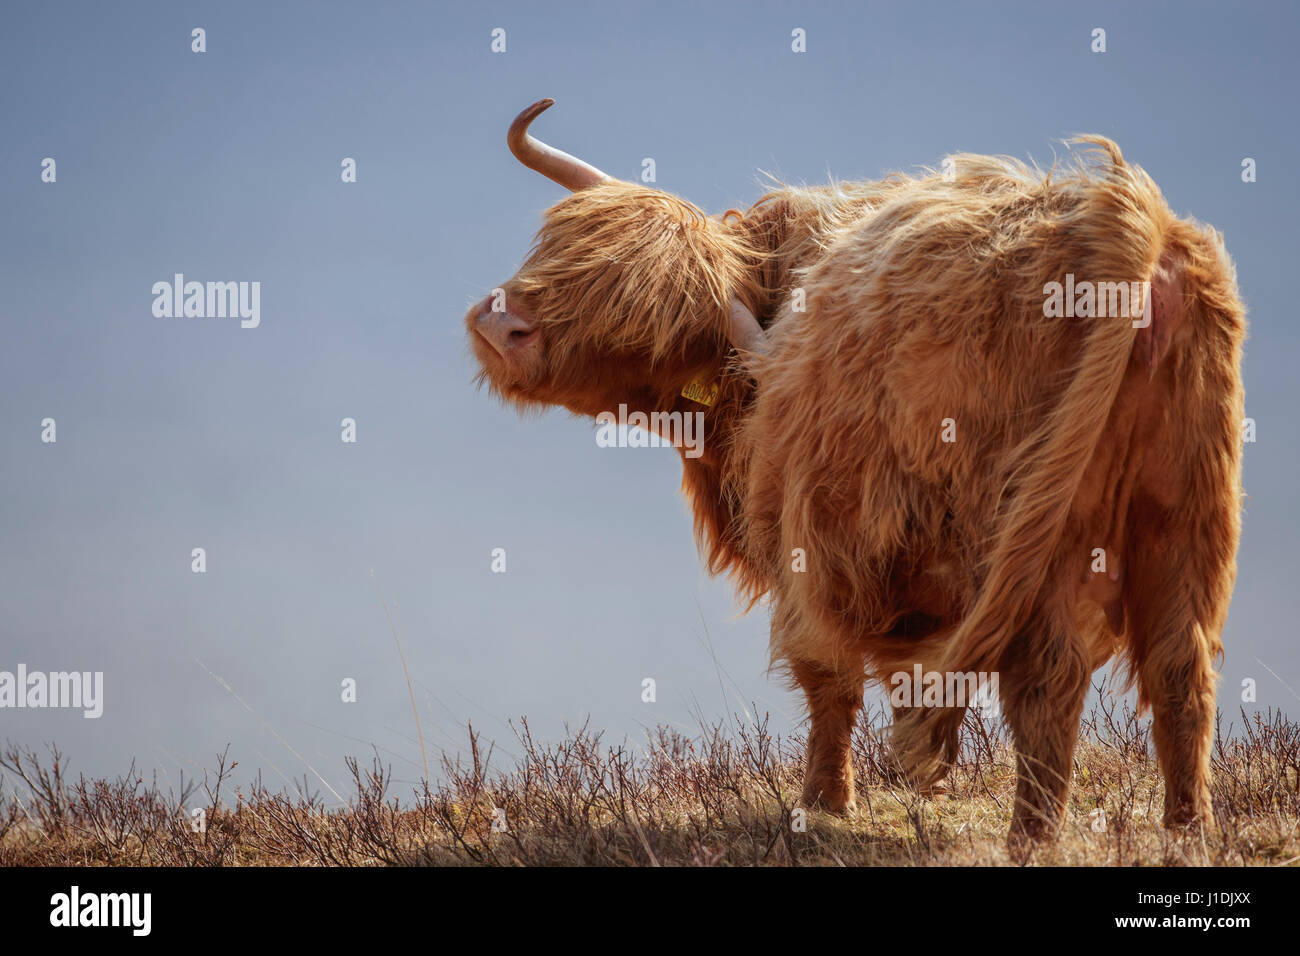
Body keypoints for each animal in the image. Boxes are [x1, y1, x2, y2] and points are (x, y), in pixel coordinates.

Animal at [470, 98, 1248, 858]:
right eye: (557, 246)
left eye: (645, 322)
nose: (501, 325)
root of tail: (1127, 220)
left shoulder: (808, 547)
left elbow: (828, 681)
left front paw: (823, 804)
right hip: (1186, 518)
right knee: (1181, 672)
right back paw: (1190, 834)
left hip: (1039, 529)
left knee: (1048, 679)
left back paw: (1031, 840)